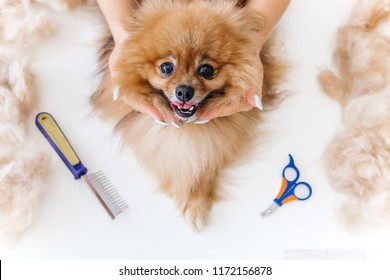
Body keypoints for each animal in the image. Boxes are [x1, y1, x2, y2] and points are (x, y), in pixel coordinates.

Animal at [93, 0, 284, 230]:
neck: (187, 128)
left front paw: (196, 203)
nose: (184, 91)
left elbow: (205, 163)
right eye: (167, 67)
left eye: (206, 70)